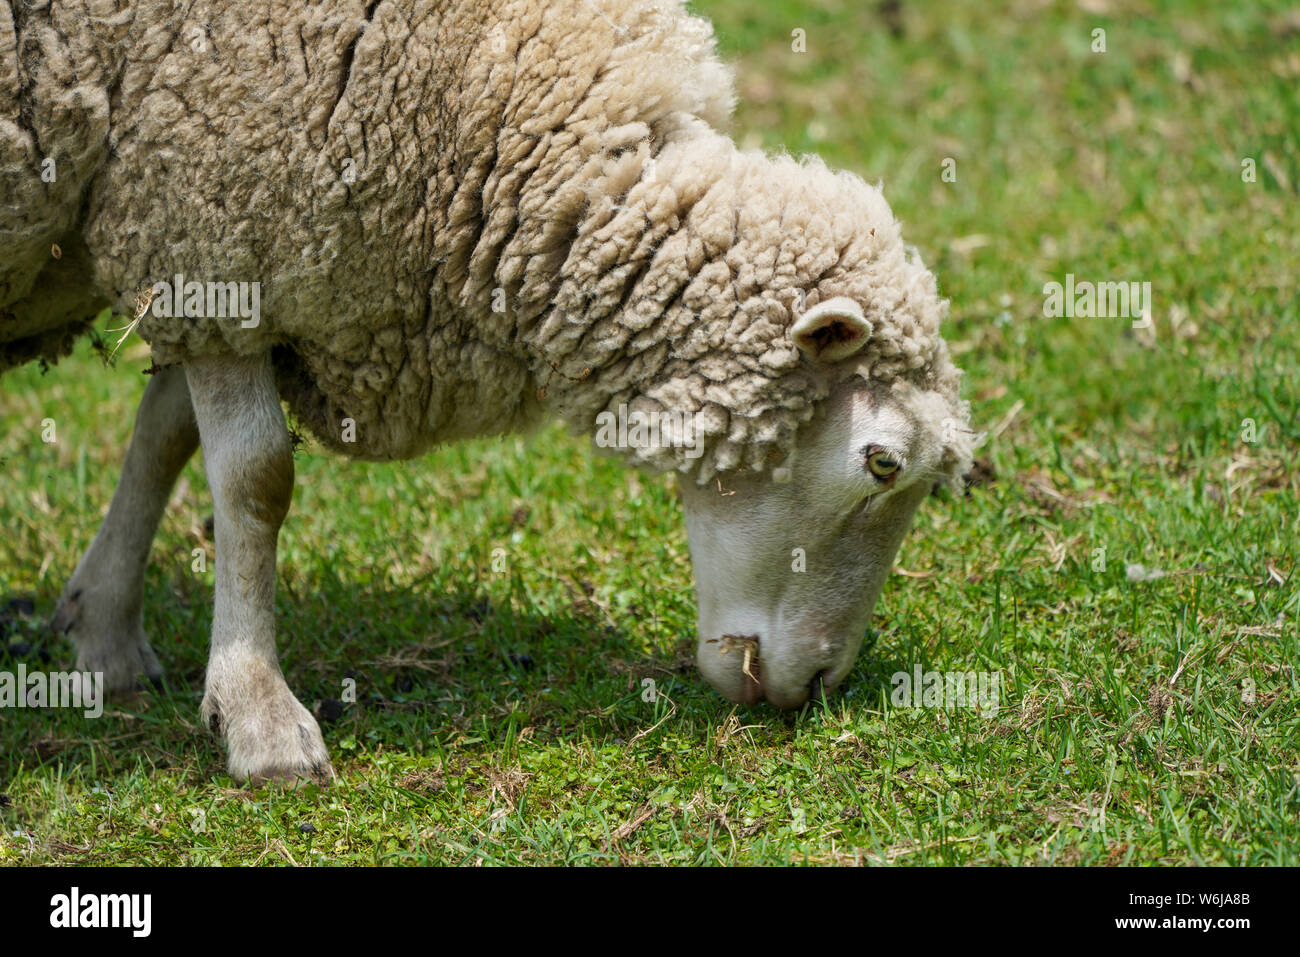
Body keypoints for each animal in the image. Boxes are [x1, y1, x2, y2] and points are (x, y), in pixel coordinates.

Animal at [2, 0, 973, 784]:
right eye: (881, 462)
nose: (817, 685)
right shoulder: (211, 230)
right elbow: (255, 479)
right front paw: (259, 714)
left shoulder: (203, 253)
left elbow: (167, 434)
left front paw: (104, 631)